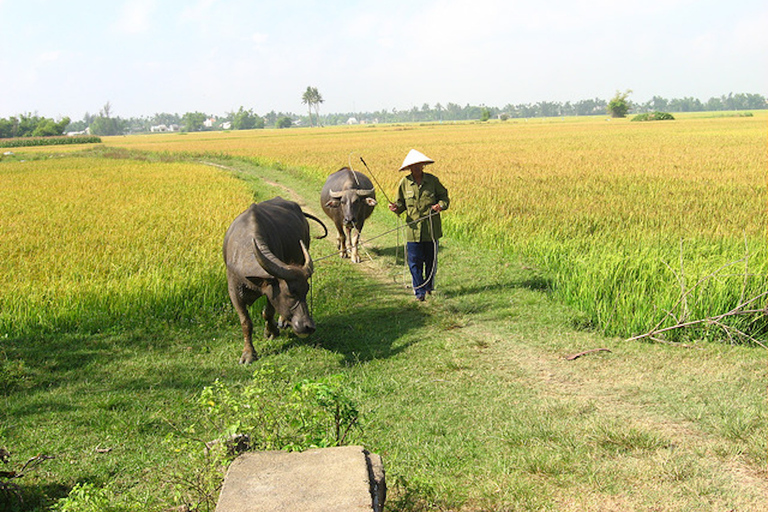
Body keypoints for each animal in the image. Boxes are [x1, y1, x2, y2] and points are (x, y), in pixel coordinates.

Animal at [225, 197, 328, 364]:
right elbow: (246, 322)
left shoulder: (271, 290)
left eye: (306, 290)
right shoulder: (234, 291)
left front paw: (271, 331)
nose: (309, 327)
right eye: (290, 293)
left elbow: (268, 312)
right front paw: (248, 353)